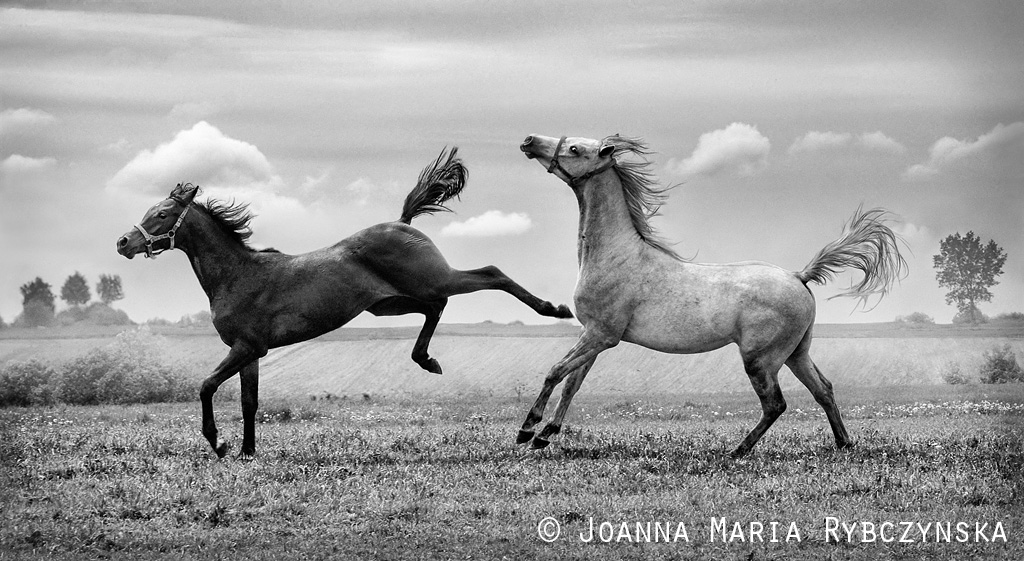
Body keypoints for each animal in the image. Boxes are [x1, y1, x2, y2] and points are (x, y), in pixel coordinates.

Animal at [117, 146, 577, 458]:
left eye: (161, 214)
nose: (123, 242)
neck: (236, 275)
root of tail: (403, 223)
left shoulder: (245, 347)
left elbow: (207, 385)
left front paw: (219, 444)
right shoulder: (249, 352)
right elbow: (249, 403)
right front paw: (247, 451)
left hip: (431, 279)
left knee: (490, 274)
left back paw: (553, 310)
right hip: (390, 302)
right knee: (436, 308)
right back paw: (427, 360)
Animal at [520, 134, 905, 458]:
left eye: (574, 149)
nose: (529, 141)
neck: (617, 255)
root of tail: (800, 276)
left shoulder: (602, 334)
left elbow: (555, 372)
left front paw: (528, 429)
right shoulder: (594, 335)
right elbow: (572, 384)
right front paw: (546, 434)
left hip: (761, 359)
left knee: (776, 404)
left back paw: (737, 451)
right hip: (797, 353)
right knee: (823, 389)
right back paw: (843, 443)